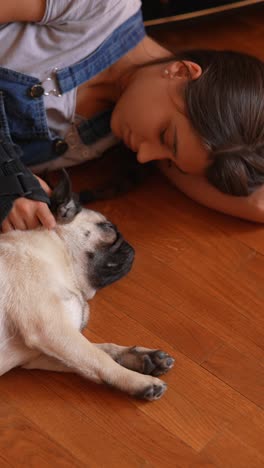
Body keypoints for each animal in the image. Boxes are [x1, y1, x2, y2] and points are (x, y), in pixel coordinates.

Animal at [0, 173, 175, 402]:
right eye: (108, 228)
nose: (131, 247)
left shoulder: (41, 354)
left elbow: (101, 351)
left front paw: (142, 357)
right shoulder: (51, 329)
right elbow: (100, 358)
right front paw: (138, 381)